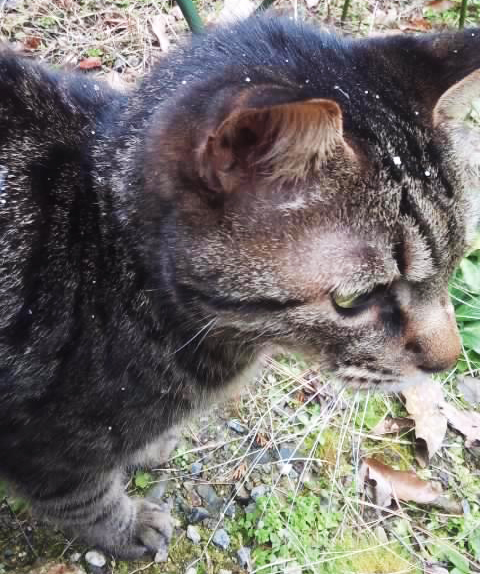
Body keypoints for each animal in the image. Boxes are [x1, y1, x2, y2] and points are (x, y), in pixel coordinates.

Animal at [0, 14, 480, 564]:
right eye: (355, 300)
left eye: (457, 259)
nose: (448, 362)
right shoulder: (43, 449)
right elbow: (84, 498)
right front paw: (127, 527)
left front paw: (146, 449)